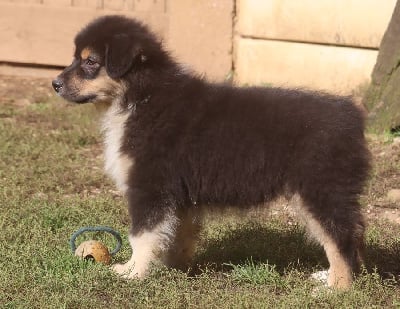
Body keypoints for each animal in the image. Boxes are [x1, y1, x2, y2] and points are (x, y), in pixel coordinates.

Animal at [51, 15, 370, 288]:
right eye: (75, 58)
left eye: (90, 61)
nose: (55, 84)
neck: (141, 96)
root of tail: (353, 117)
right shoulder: (178, 195)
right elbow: (177, 235)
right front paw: (172, 268)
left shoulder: (149, 186)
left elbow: (141, 235)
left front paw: (132, 273)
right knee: (352, 232)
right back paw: (333, 277)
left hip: (320, 189)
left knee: (340, 237)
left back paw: (336, 288)